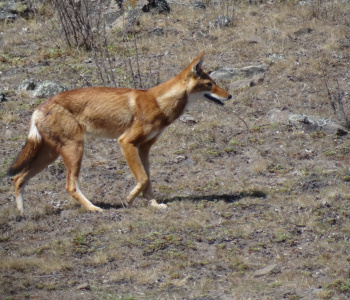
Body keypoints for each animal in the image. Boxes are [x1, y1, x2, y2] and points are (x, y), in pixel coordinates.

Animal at [8, 52, 231, 214]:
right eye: (210, 84)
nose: (229, 95)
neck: (159, 103)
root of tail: (39, 107)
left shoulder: (144, 148)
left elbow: (148, 180)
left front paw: (153, 204)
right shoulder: (126, 142)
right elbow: (142, 179)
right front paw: (129, 200)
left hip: (51, 155)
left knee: (18, 178)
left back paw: (23, 214)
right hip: (74, 150)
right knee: (69, 186)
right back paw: (94, 209)